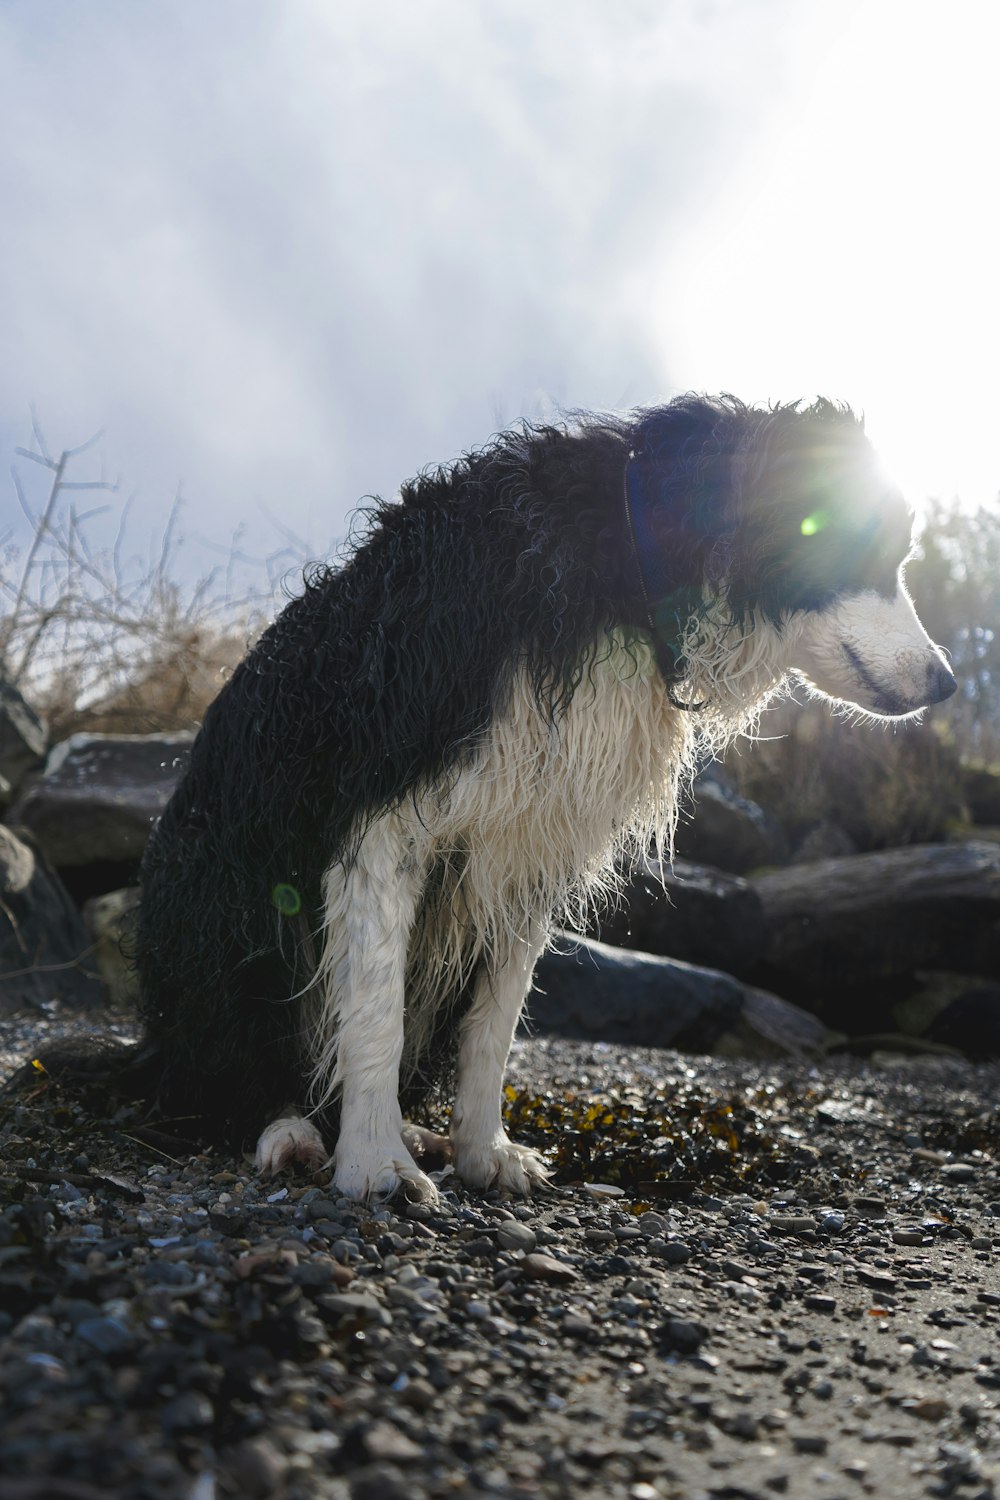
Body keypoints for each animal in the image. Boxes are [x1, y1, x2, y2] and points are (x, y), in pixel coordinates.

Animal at [132, 393, 953, 1200]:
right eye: (872, 547)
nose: (945, 681)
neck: (633, 561)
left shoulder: (535, 840)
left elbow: (494, 1022)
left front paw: (480, 1151)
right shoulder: (381, 815)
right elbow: (374, 1009)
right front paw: (374, 1166)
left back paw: (412, 1128)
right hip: (220, 907)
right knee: (218, 1063)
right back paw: (292, 1131)